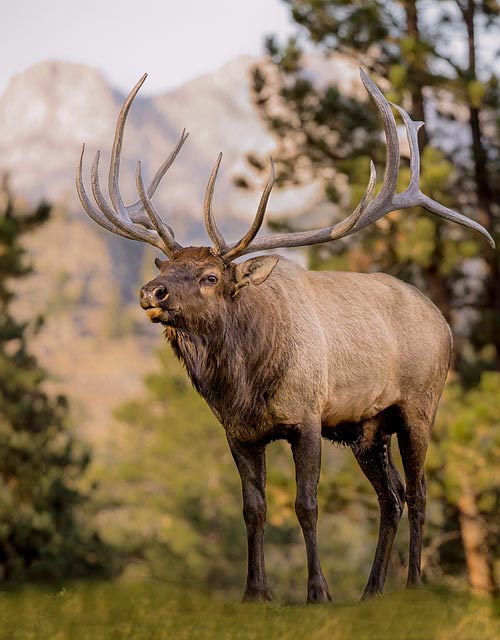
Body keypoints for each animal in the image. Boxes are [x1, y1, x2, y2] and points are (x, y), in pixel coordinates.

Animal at [76, 69, 494, 603]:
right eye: (166, 266)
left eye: (211, 276)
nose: (152, 291)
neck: (245, 386)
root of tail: (442, 320)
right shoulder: (239, 433)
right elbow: (253, 509)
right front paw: (255, 592)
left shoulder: (308, 418)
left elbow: (306, 505)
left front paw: (318, 592)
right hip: (367, 428)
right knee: (392, 497)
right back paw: (372, 590)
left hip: (419, 405)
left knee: (419, 492)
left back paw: (414, 583)